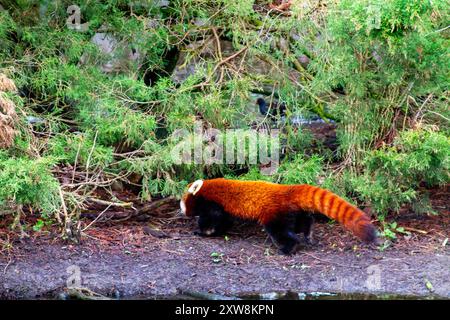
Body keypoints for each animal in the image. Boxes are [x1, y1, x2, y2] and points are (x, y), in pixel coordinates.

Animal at [181, 178, 378, 255]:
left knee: (280, 232)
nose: (180, 210)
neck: (206, 189)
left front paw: (203, 232)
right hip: (291, 211)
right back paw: (308, 233)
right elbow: (225, 222)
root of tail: (285, 190)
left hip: (274, 214)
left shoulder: (213, 204)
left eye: (183, 201)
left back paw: (287, 248)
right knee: (303, 221)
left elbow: (212, 219)